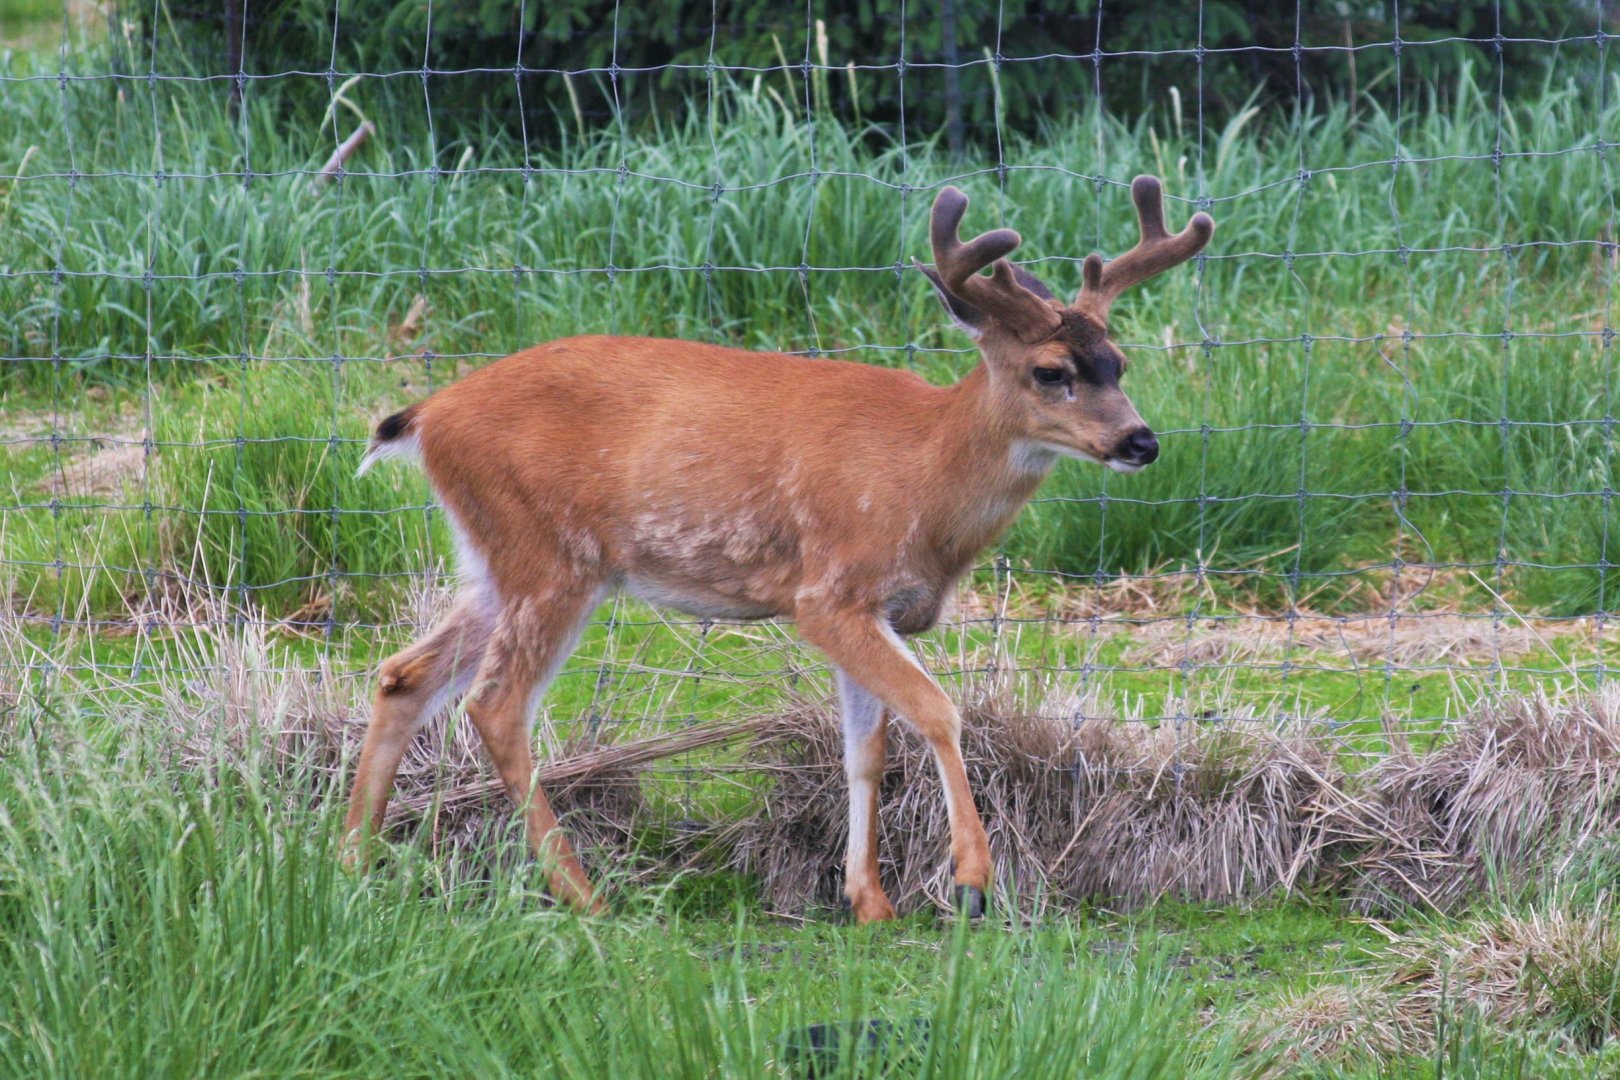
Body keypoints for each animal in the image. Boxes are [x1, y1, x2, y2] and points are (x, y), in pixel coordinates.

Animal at [343, 176, 1214, 922]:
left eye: (1119, 362)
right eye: (1050, 371)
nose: (1140, 442)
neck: (923, 473)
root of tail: (427, 416)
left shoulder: (874, 609)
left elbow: (866, 749)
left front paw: (869, 902)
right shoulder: (826, 593)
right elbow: (936, 707)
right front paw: (972, 881)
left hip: (497, 560)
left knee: (404, 675)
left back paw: (352, 859)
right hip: (550, 555)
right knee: (496, 704)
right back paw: (584, 895)